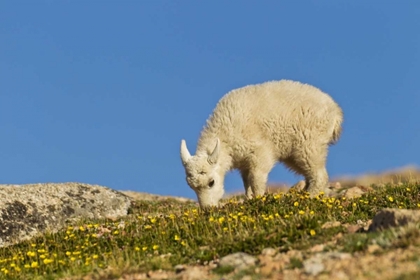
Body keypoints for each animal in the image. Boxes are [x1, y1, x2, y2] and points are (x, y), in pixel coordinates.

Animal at [179, 80, 342, 207]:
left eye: (211, 182)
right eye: (191, 186)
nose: (208, 209)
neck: (225, 133)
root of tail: (336, 112)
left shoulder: (259, 151)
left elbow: (256, 178)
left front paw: (258, 199)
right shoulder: (244, 162)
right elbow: (247, 182)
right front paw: (249, 198)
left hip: (309, 143)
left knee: (319, 175)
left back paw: (309, 197)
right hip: (295, 153)